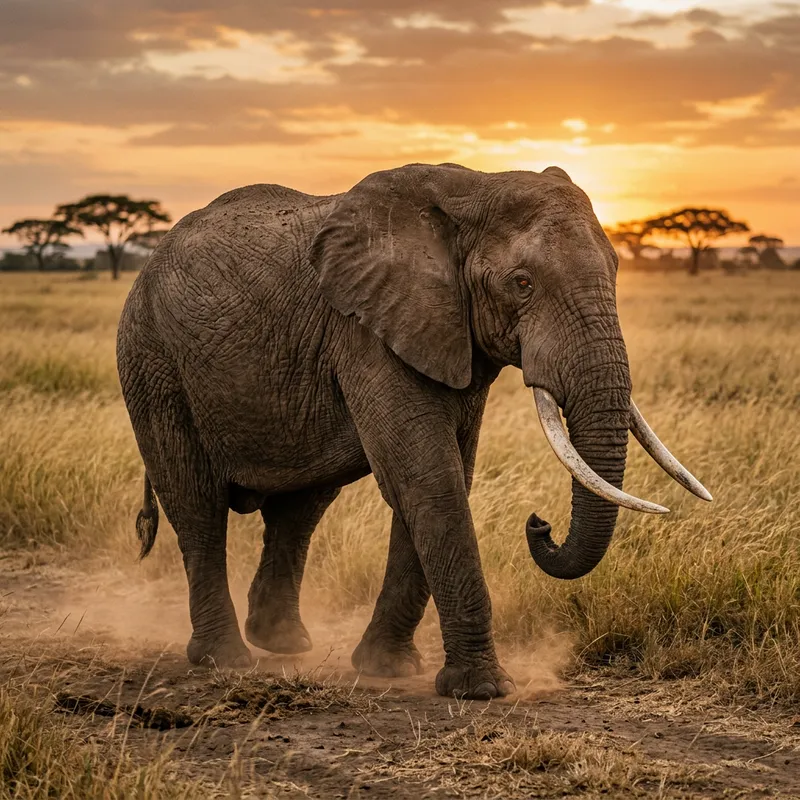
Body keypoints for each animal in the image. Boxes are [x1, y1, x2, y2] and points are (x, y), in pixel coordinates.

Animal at [117, 163, 711, 700]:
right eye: (522, 284)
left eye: (616, 272)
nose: (539, 523)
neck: (475, 187)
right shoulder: (365, 331)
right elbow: (427, 478)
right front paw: (482, 690)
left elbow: (443, 477)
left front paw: (387, 669)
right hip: (151, 360)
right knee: (196, 503)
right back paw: (226, 660)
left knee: (301, 508)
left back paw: (283, 644)